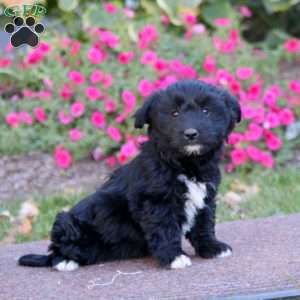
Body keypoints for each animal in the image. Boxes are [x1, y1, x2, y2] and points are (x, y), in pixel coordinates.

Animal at [18, 80, 240, 272]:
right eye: (174, 114)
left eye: (206, 111)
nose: (191, 133)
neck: (186, 164)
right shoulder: (156, 203)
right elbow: (164, 228)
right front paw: (173, 257)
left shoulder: (206, 198)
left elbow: (204, 224)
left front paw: (212, 247)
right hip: (67, 222)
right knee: (58, 248)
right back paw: (64, 261)